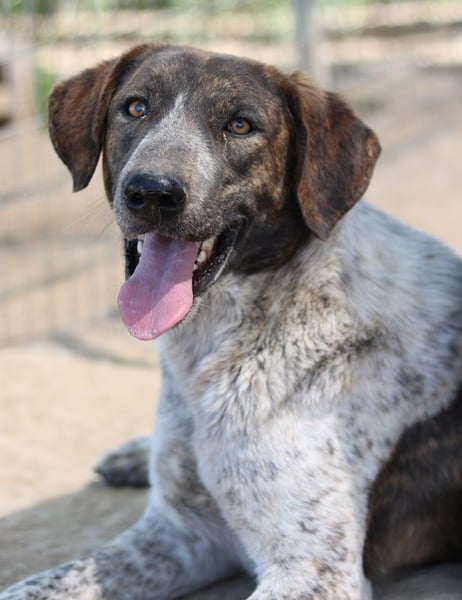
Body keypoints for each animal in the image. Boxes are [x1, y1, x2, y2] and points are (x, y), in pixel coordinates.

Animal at [2, 43, 462, 600]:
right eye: (135, 108)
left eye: (241, 125)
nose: (152, 192)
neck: (215, 348)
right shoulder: (180, 534)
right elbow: (40, 583)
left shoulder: (314, 570)